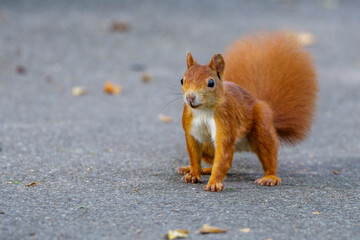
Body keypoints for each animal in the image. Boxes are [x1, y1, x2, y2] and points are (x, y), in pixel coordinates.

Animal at [177, 32, 318, 192]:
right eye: (182, 80)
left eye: (211, 83)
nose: (190, 98)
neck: (203, 110)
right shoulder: (190, 127)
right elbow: (194, 154)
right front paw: (193, 174)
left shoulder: (226, 119)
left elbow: (224, 153)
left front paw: (214, 183)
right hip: (208, 146)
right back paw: (199, 169)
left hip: (262, 126)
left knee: (268, 153)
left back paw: (270, 177)